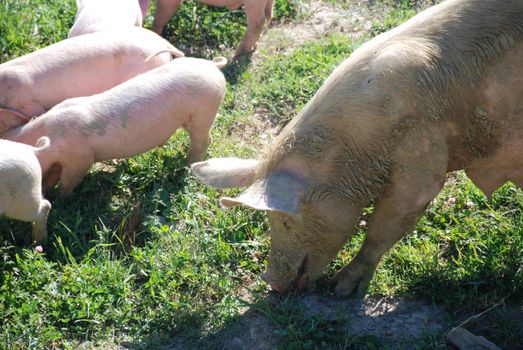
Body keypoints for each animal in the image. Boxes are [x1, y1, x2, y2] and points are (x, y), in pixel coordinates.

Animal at [5, 58, 227, 197]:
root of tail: (212, 65)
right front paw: (47, 190)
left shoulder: (81, 159)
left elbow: (69, 180)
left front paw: (61, 198)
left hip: (204, 111)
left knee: (203, 140)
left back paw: (188, 164)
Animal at [191, 0, 523, 296]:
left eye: (284, 219)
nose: (270, 281)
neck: (356, 153)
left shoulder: (421, 156)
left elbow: (386, 225)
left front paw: (341, 289)